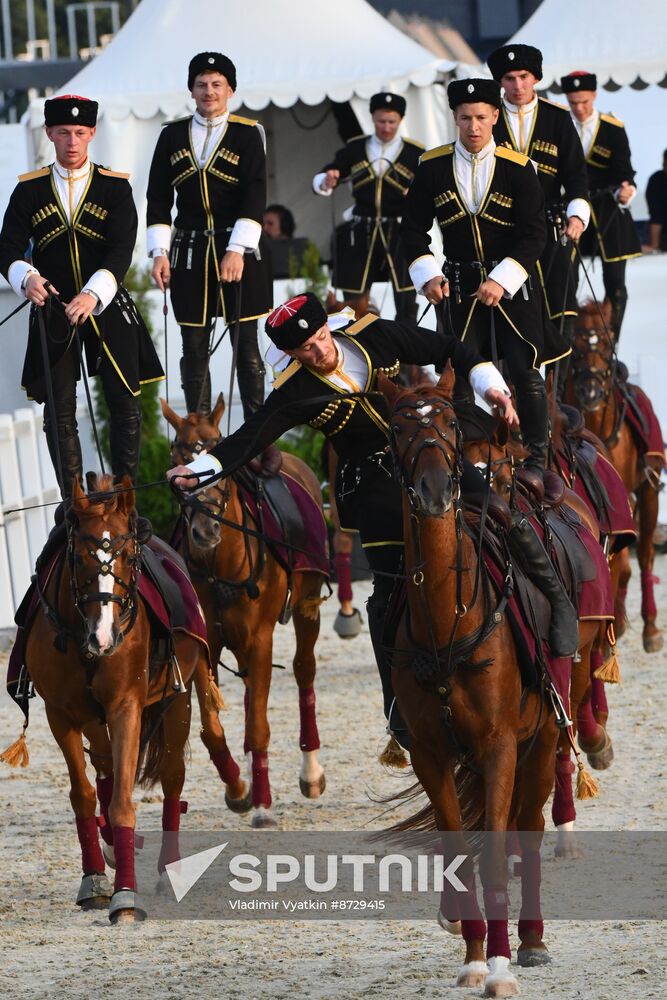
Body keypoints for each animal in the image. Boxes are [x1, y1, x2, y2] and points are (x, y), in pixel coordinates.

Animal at [2, 474, 207, 920]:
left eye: (129, 555)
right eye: (78, 558)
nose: (104, 637)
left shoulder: (125, 708)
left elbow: (123, 800)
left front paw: (125, 896)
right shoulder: (61, 715)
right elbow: (84, 795)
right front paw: (95, 880)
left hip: (177, 705)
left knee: (171, 775)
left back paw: (167, 868)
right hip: (94, 721)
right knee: (104, 769)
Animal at [162, 396, 328, 828]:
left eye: (216, 447)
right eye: (176, 454)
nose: (205, 529)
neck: (220, 566)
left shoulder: (261, 638)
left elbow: (258, 726)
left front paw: (263, 803)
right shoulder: (204, 641)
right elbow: (211, 728)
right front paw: (238, 788)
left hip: (307, 604)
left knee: (304, 670)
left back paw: (311, 771)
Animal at [378, 364, 608, 988]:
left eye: (451, 423)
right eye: (399, 428)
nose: (435, 490)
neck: (446, 622)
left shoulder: (501, 743)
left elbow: (502, 849)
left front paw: (501, 965)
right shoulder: (432, 752)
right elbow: (460, 847)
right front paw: (475, 957)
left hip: (546, 732)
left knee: (528, 826)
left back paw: (531, 938)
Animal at [568, 300, 664, 652]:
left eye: (606, 348)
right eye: (577, 344)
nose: (591, 390)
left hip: (648, 493)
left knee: (645, 554)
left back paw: (649, 628)